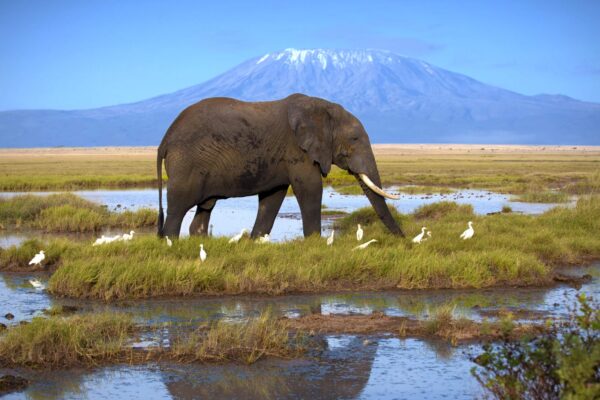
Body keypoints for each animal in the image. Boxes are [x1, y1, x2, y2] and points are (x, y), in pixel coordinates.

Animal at [157, 93, 406, 238]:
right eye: (354, 139)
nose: (403, 240)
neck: (321, 107)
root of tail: (165, 139)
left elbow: (273, 197)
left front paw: (256, 242)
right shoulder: (297, 150)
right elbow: (310, 188)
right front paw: (314, 243)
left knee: (205, 208)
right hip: (186, 163)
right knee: (178, 207)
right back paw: (171, 243)